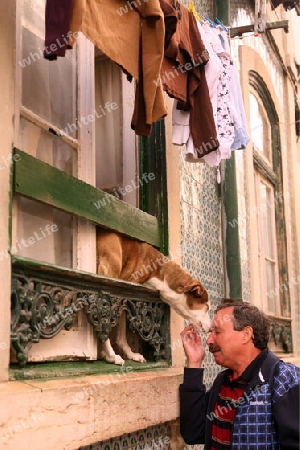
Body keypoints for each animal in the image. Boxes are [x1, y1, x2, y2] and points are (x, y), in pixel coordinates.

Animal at [97, 230, 210, 364]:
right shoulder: (120, 292)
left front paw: (130, 354)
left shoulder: (124, 297)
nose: (212, 328)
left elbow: (121, 329)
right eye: (207, 307)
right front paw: (109, 355)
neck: (157, 269)